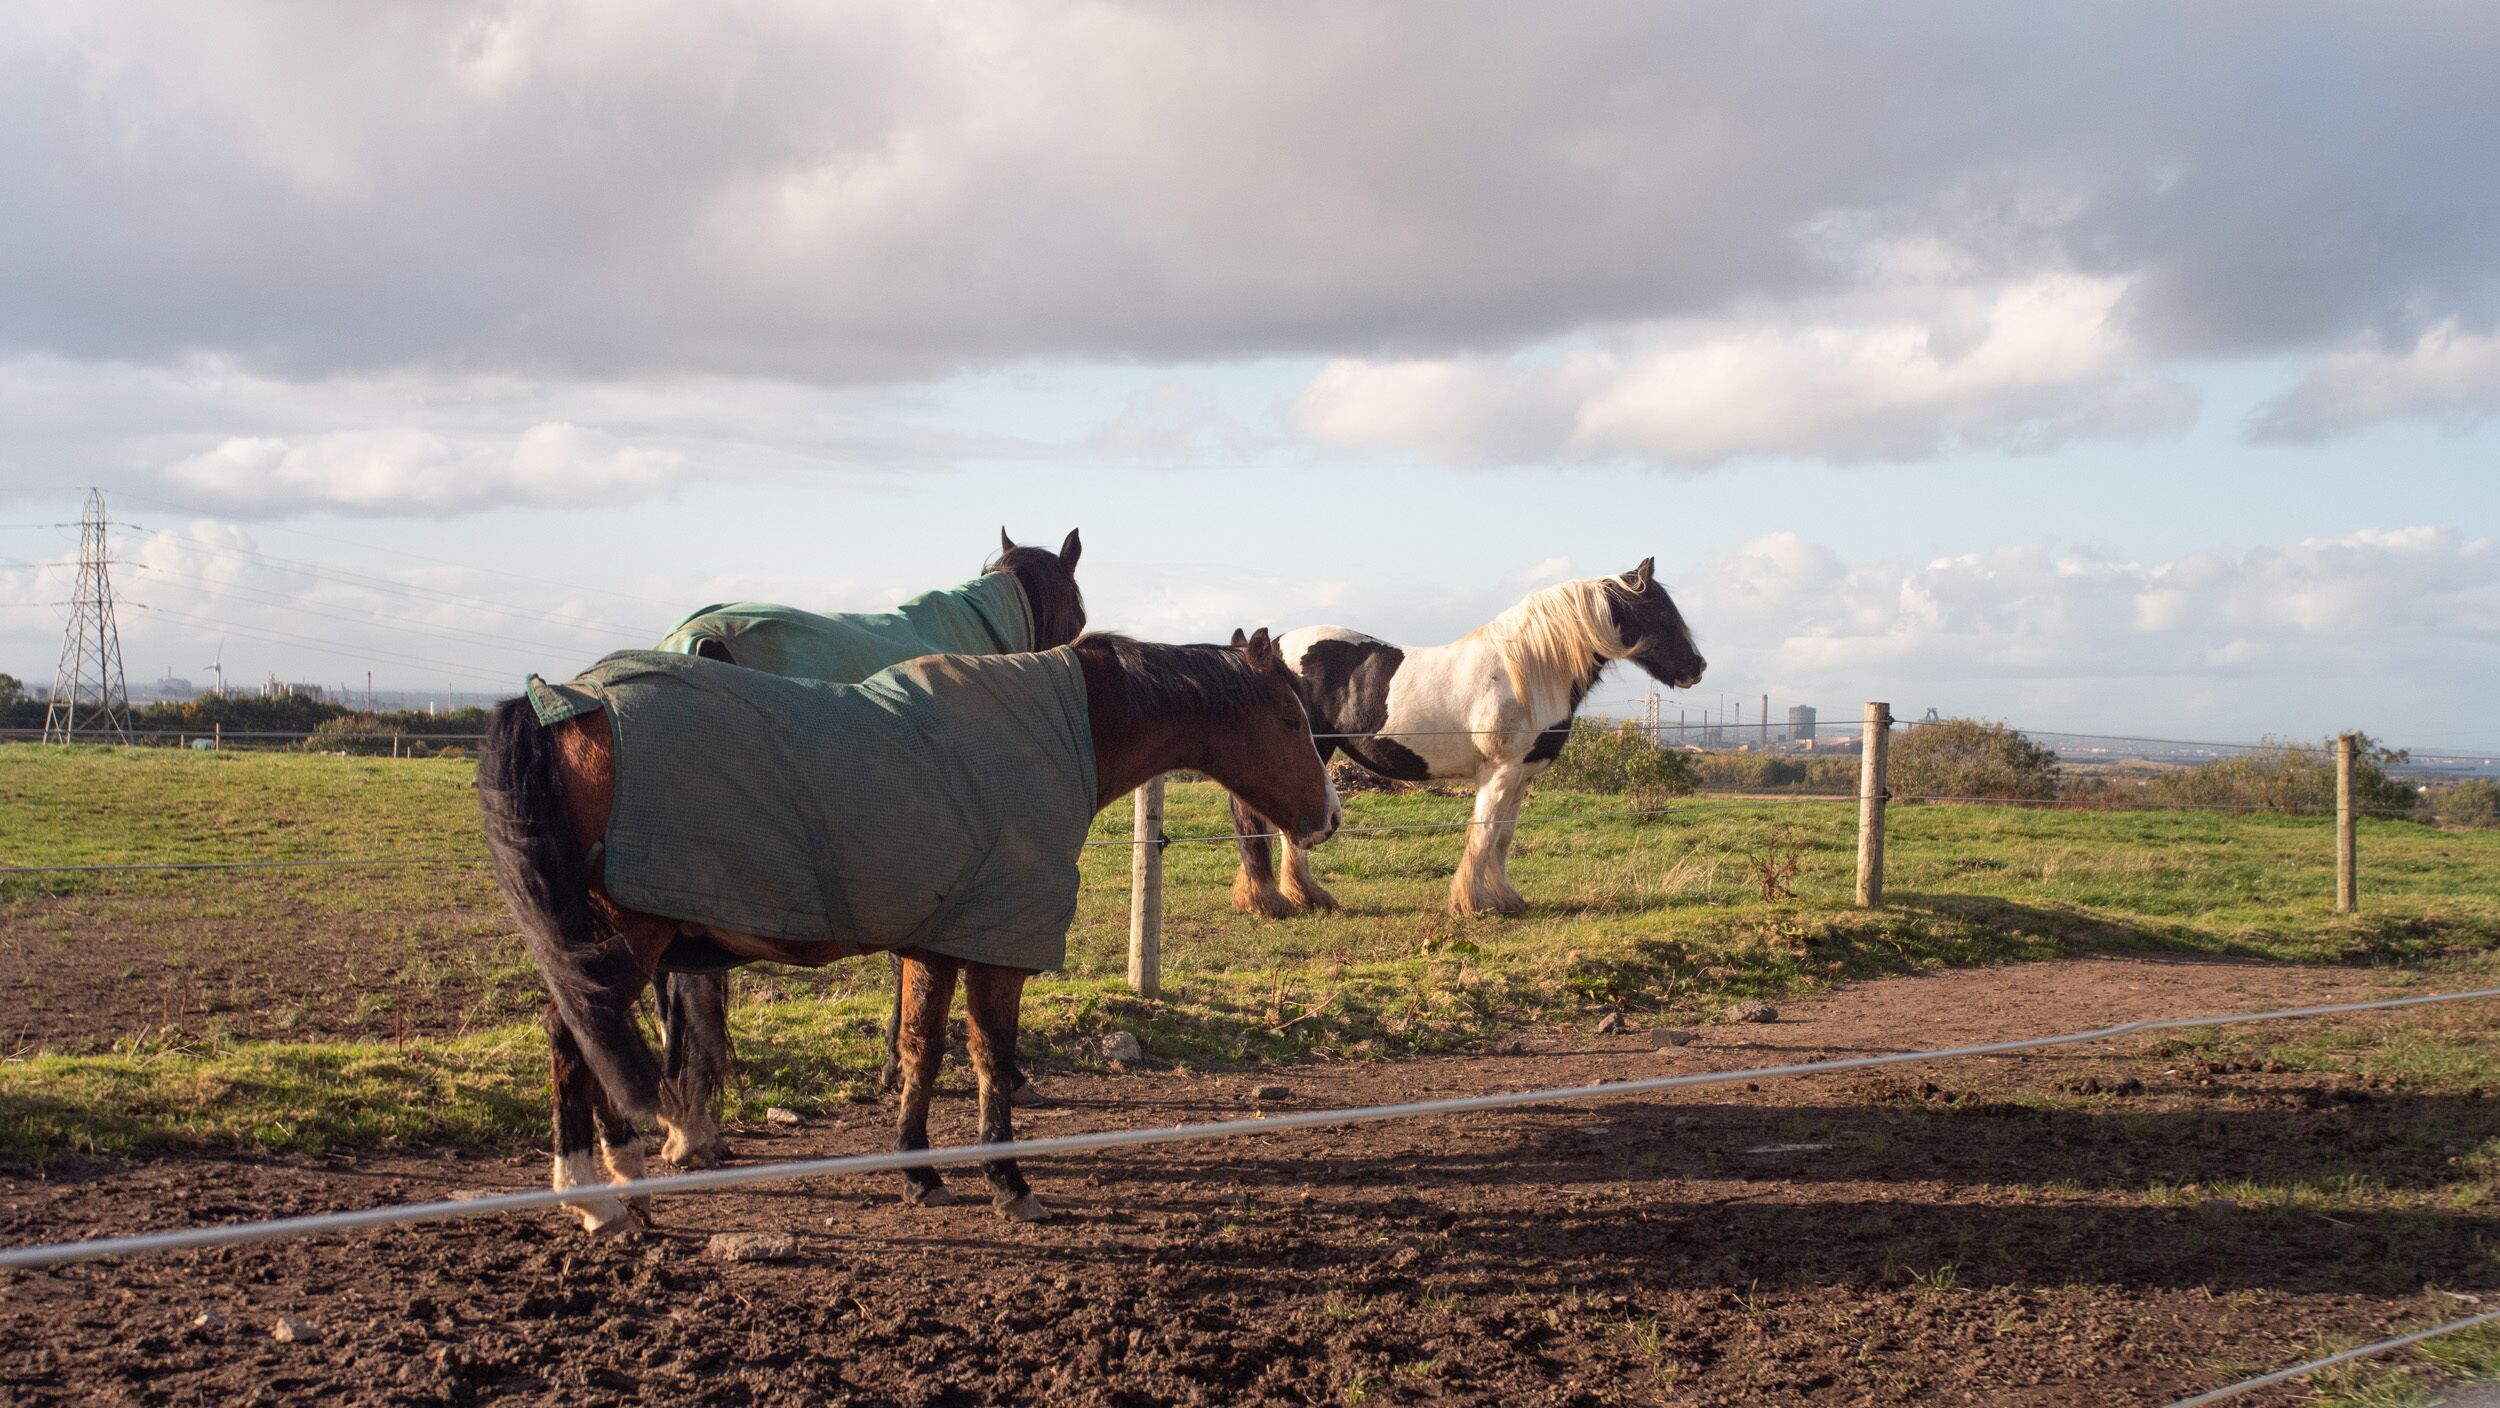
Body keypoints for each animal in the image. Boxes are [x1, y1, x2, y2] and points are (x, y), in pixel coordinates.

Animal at [477, 629, 1339, 1232]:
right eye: (1290, 717)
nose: (1329, 818)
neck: (1065, 728)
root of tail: (559, 705)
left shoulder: (940, 942)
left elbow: (921, 1051)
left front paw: (920, 1172)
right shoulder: (995, 947)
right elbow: (990, 1056)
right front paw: (1008, 1182)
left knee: (585, 1038)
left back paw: (622, 1178)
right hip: (626, 938)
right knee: (571, 1038)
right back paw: (597, 1198)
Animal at [1230, 559, 1704, 918]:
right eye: (1661, 613)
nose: (1697, 668)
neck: (1528, 670)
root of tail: (1269, 650)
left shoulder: (1520, 775)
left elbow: (1503, 837)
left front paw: (1506, 899)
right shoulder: (1498, 772)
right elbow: (1483, 831)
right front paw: (1472, 904)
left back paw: (1303, 898)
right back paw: (1272, 900)